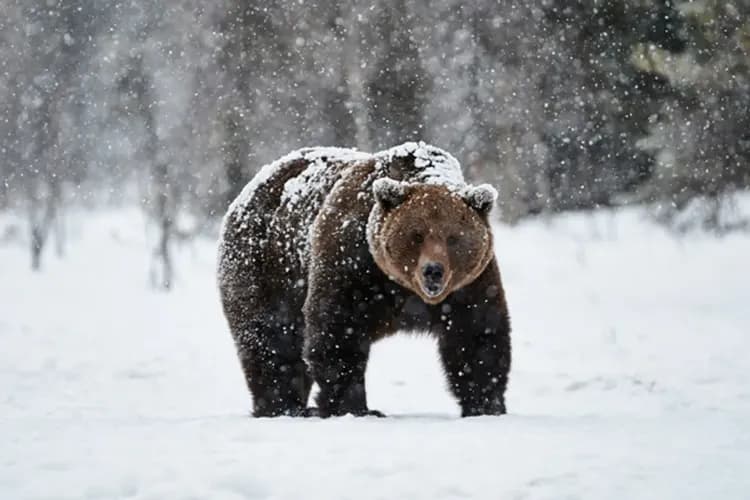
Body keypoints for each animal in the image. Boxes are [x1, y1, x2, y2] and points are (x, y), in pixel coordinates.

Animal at [217, 142, 512, 418]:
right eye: (416, 235)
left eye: (453, 238)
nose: (433, 270)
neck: (403, 288)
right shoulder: (352, 262)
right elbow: (337, 330)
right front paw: (355, 407)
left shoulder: (469, 285)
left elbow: (477, 335)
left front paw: (486, 405)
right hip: (267, 267)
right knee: (271, 340)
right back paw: (283, 406)